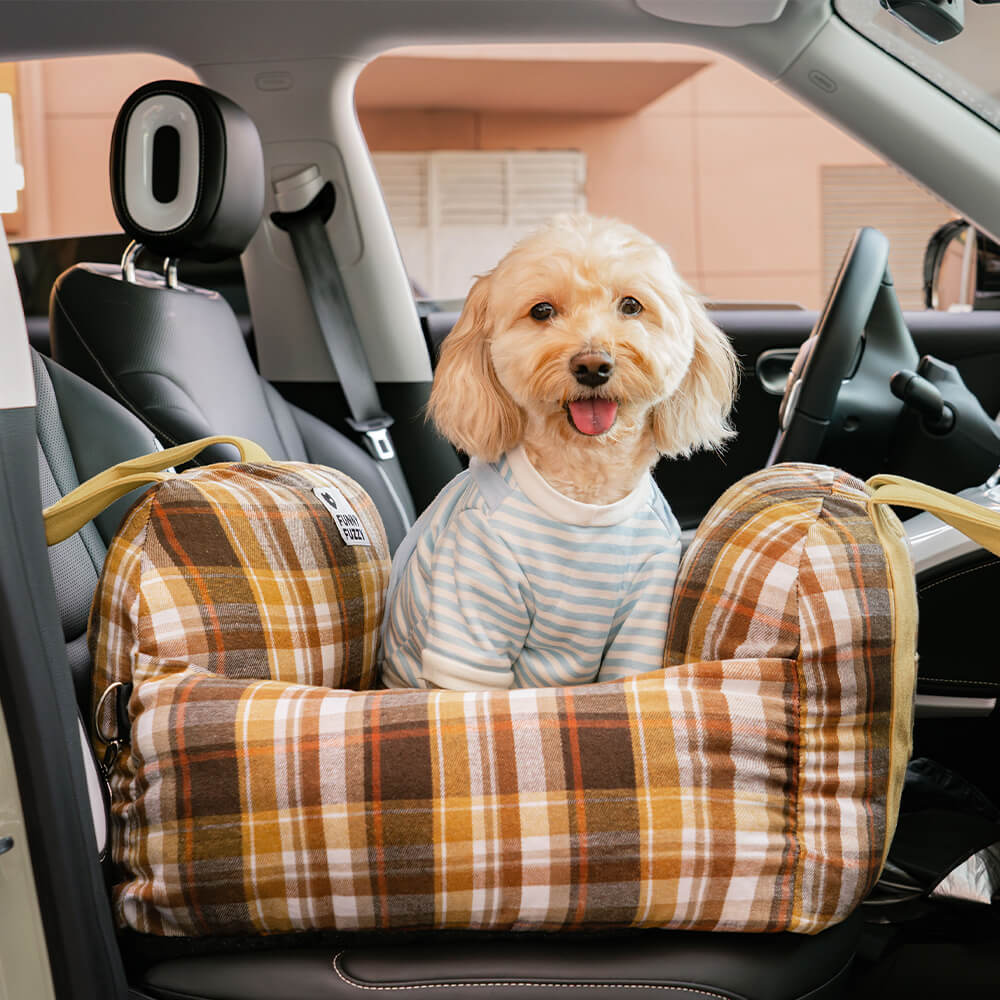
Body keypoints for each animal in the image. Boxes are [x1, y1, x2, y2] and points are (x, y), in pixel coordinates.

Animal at [378, 215, 740, 692]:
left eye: (631, 305)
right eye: (542, 311)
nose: (592, 366)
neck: (585, 493)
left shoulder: (645, 604)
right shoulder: (474, 592)